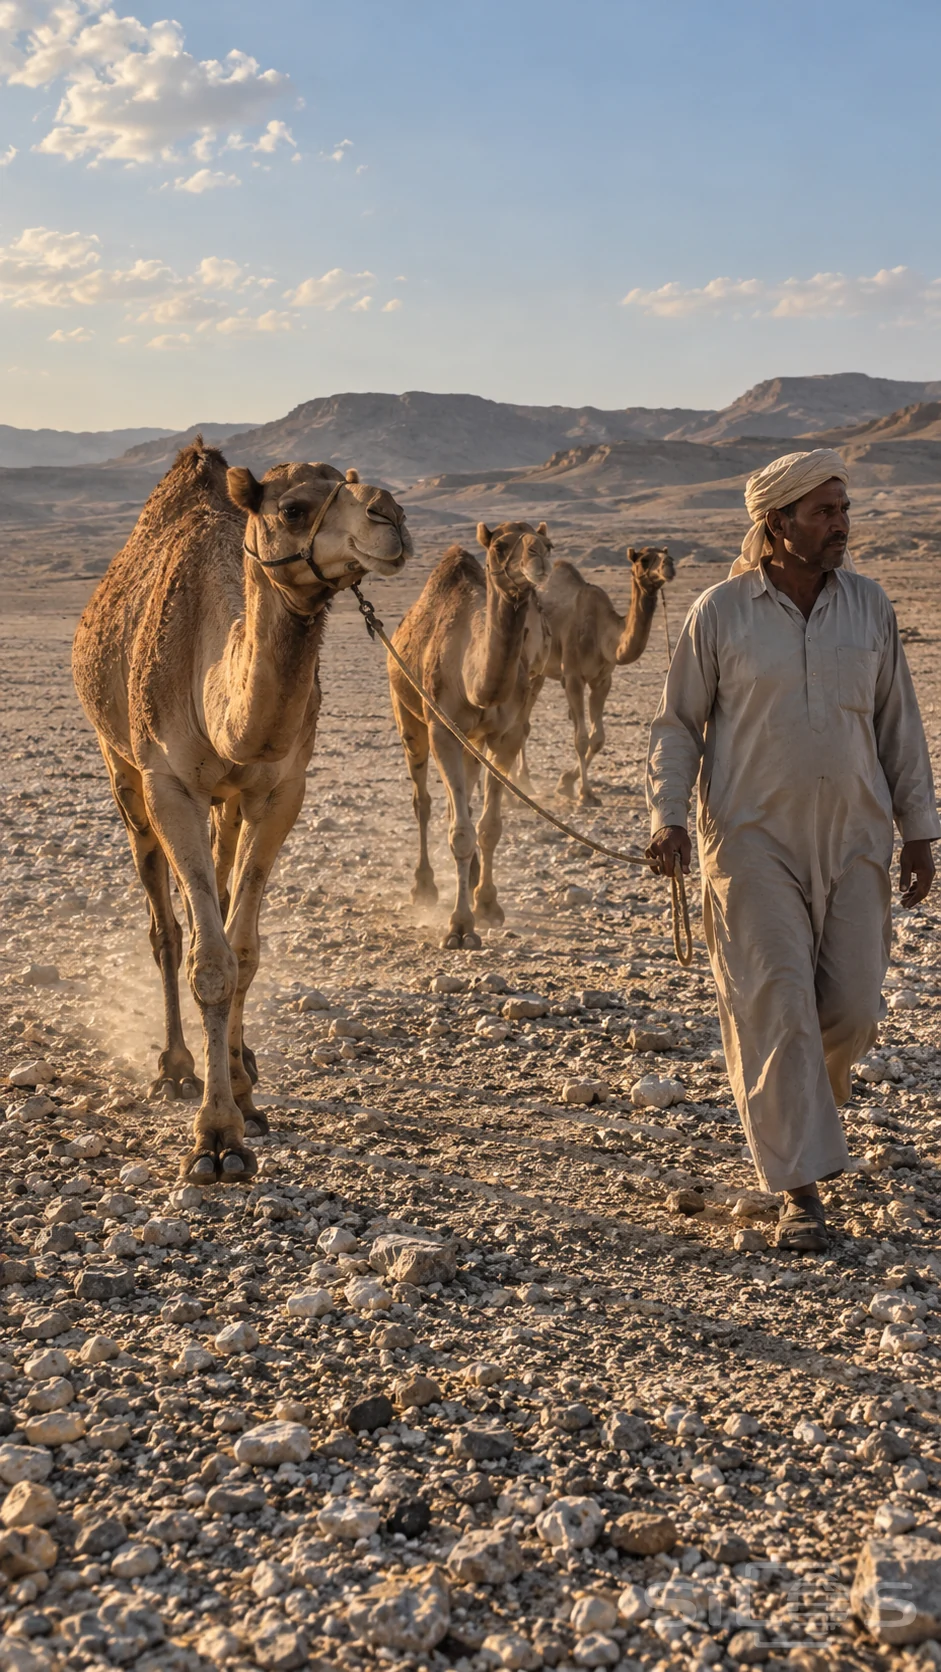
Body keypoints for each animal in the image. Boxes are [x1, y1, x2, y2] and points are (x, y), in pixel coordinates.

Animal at [73, 440, 411, 1181]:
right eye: (294, 509)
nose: (392, 516)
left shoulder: (280, 791)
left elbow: (245, 950)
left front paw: (244, 1097)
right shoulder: (168, 783)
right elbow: (209, 961)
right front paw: (216, 1138)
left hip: (226, 804)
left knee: (222, 896)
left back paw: (236, 1060)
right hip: (122, 769)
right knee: (165, 925)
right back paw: (174, 1066)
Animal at [389, 521, 553, 949]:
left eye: (549, 543)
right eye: (500, 546)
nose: (540, 558)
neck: (476, 682)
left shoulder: (505, 737)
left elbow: (488, 827)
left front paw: (488, 905)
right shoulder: (443, 731)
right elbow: (460, 832)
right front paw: (460, 926)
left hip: (473, 742)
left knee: (460, 798)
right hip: (408, 716)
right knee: (424, 802)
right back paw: (424, 887)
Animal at [521, 547, 675, 803]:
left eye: (666, 553)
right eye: (644, 559)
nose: (670, 565)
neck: (603, 633)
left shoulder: (602, 681)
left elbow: (598, 738)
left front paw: (565, 782)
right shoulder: (573, 676)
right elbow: (581, 739)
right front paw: (586, 794)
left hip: (538, 673)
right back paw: (520, 779)